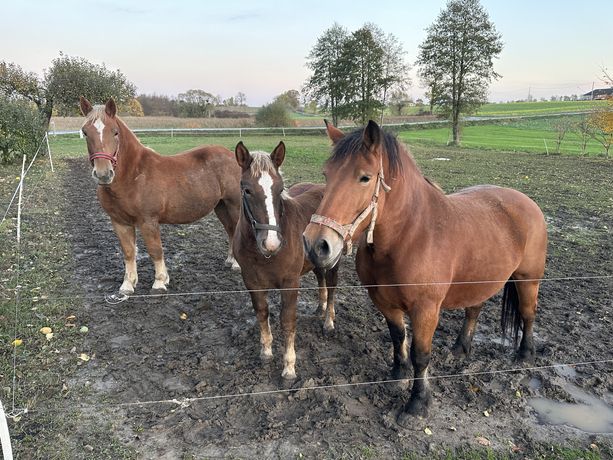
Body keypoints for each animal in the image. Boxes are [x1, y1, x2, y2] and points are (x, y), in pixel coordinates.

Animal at [80, 97, 243, 294]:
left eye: (115, 132)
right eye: (85, 132)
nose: (103, 174)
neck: (133, 175)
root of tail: (232, 156)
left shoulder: (148, 221)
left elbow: (155, 250)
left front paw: (159, 282)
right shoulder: (119, 222)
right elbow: (129, 252)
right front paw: (128, 284)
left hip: (234, 205)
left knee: (236, 230)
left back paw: (237, 264)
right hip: (221, 206)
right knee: (230, 230)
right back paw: (230, 260)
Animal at [233, 142, 340, 380]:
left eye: (280, 189)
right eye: (246, 190)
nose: (271, 243)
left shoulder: (290, 283)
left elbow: (287, 320)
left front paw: (289, 367)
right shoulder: (251, 281)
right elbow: (262, 313)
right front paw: (266, 351)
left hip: (333, 261)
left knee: (332, 285)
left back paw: (328, 321)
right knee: (320, 278)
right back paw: (320, 308)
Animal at [304, 119, 548, 424]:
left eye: (365, 178)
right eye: (327, 174)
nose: (316, 244)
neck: (410, 236)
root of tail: (527, 201)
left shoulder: (426, 309)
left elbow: (421, 354)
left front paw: (418, 403)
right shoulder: (384, 301)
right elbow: (398, 337)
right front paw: (398, 374)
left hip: (528, 280)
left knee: (528, 314)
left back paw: (525, 356)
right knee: (474, 310)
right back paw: (460, 349)